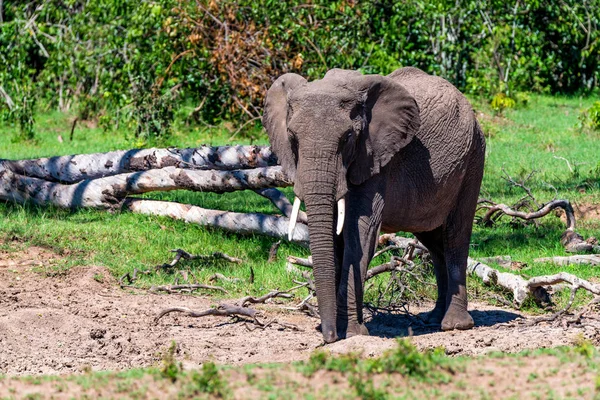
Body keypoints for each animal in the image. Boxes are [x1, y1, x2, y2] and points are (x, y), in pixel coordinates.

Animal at [264, 67, 488, 342]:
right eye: (292, 138)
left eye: (348, 137)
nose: (328, 337)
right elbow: (336, 238)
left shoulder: (374, 159)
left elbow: (359, 234)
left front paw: (351, 333)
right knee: (434, 242)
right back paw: (433, 318)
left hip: (473, 157)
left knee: (456, 235)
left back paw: (454, 324)